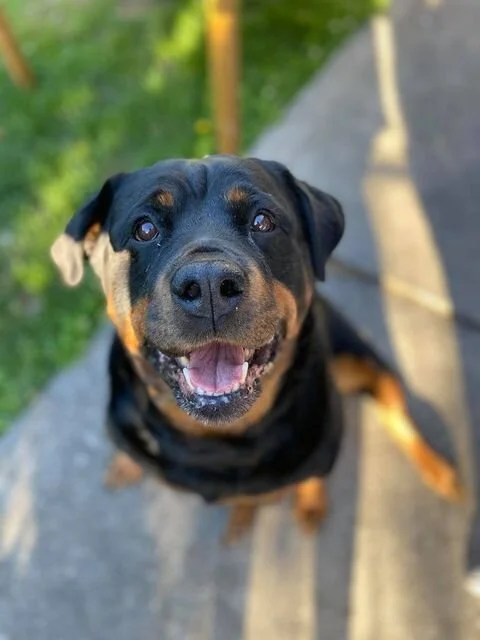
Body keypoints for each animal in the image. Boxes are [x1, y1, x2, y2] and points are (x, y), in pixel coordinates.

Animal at [51, 155, 464, 543]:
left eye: (263, 221)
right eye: (144, 228)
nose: (209, 284)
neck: (219, 440)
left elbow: (308, 476)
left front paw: (305, 502)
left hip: (367, 363)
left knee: (397, 415)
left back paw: (439, 471)